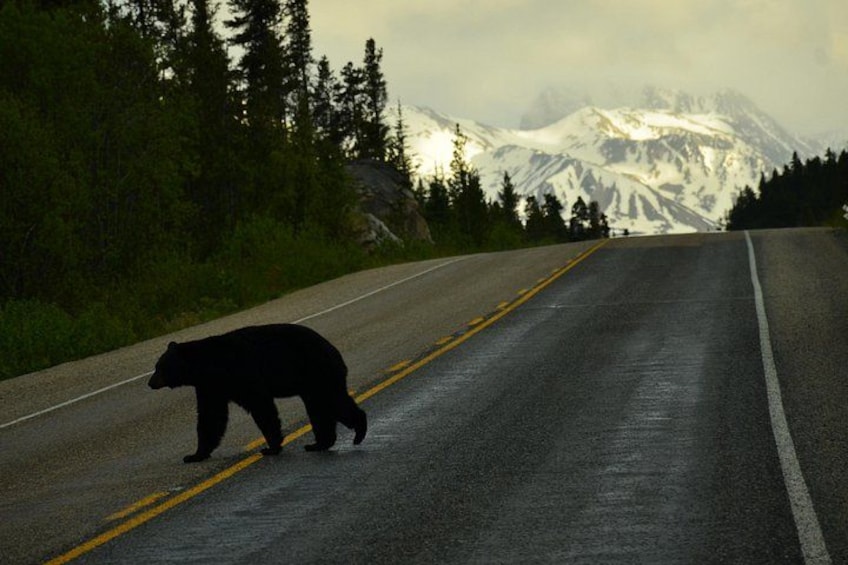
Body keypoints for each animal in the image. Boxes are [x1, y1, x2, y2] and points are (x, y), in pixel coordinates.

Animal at [148, 323, 367, 463]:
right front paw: (195, 455)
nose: (150, 383)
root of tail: (334, 349)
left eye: (160, 367)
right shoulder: (211, 386)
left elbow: (260, 405)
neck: (208, 365)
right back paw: (319, 443)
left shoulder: (241, 372)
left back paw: (358, 431)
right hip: (314, 381)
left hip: (317, 371)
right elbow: (211, 416)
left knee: (331, 401)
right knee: (321, 408)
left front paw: (271, 447)